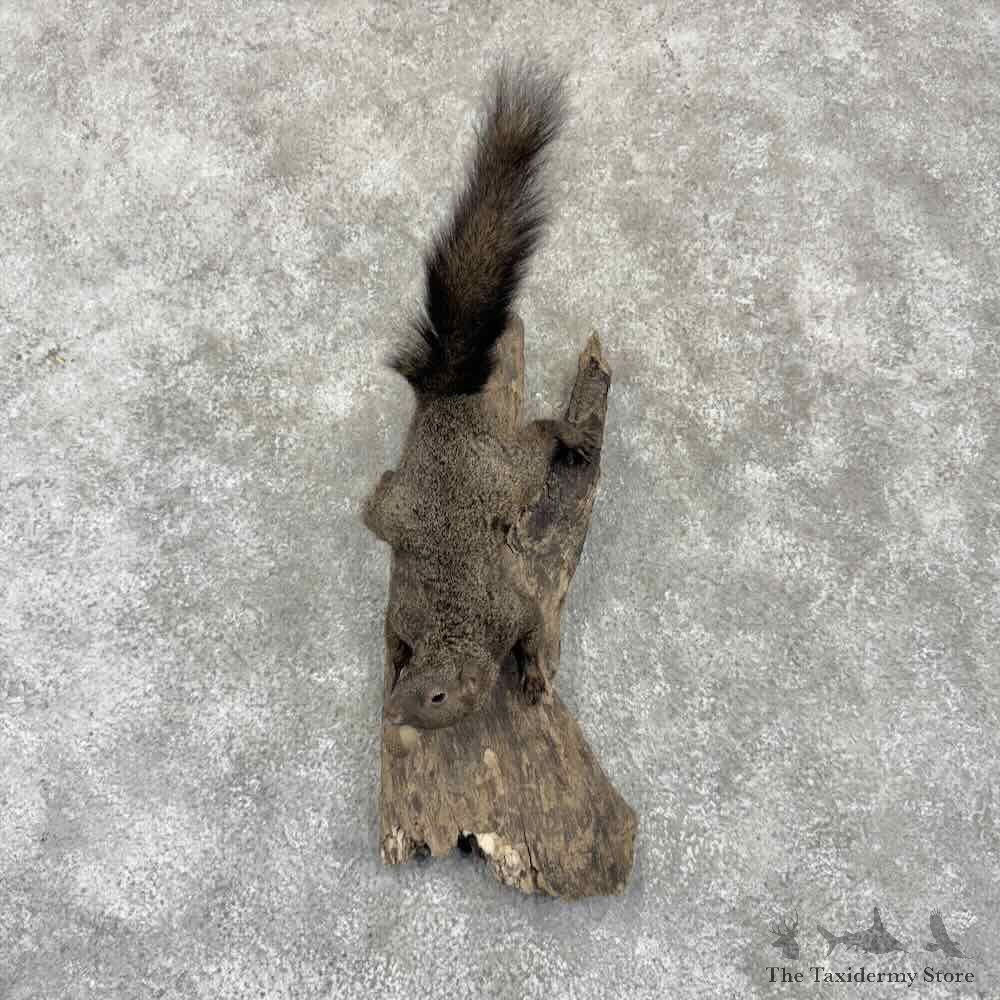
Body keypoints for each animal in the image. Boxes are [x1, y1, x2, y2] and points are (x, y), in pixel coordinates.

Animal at [363, 60, 600, 731]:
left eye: (438, 697)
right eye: (407, 683)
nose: (390, 713)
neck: (451, 629)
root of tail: (446, 403)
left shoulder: (509, 611)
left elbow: (532, 632)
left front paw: (532, 676)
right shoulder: (408, 614)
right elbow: (391, 632)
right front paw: (390, 659)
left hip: (508, 472)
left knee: (538, 439)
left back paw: (571, 435)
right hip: (412, 502)